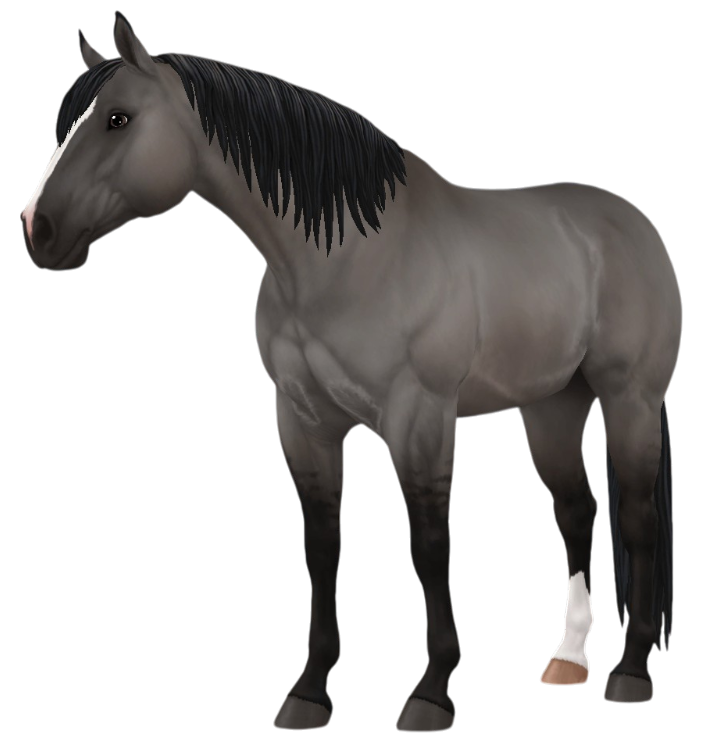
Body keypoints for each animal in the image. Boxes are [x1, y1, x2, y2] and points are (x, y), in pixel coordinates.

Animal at [21, 15, 680, 730]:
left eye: (118, 118)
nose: (38, 228)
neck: (346, 260)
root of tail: (631, 224)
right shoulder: (303, 420)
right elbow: (322, 544)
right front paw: (308, 691)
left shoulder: (420, 419)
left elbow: (428, 542)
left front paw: (430, 692)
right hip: (551, 406)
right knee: (576, 511)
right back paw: (567, 660)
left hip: (629, 401)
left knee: (638, 519)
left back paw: (629, 672)